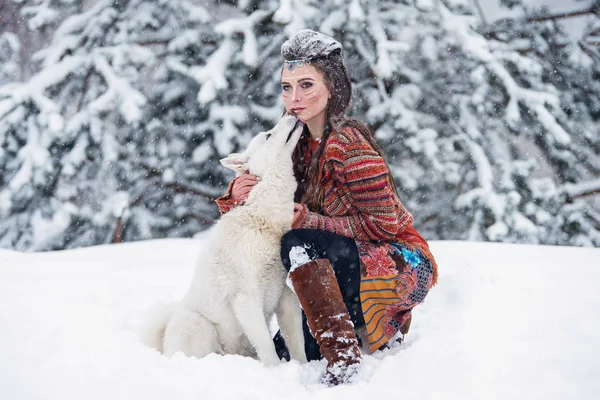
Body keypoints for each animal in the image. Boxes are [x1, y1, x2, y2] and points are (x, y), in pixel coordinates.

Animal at [145, 115, 308, 366]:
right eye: (268, 135)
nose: (291, 115)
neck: (263, 219)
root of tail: (164, 344)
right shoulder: (246, 298)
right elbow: (268, 346)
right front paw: (276, 370)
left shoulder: (287, 297)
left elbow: (297, 344)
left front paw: (303, 369)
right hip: (200, 327)